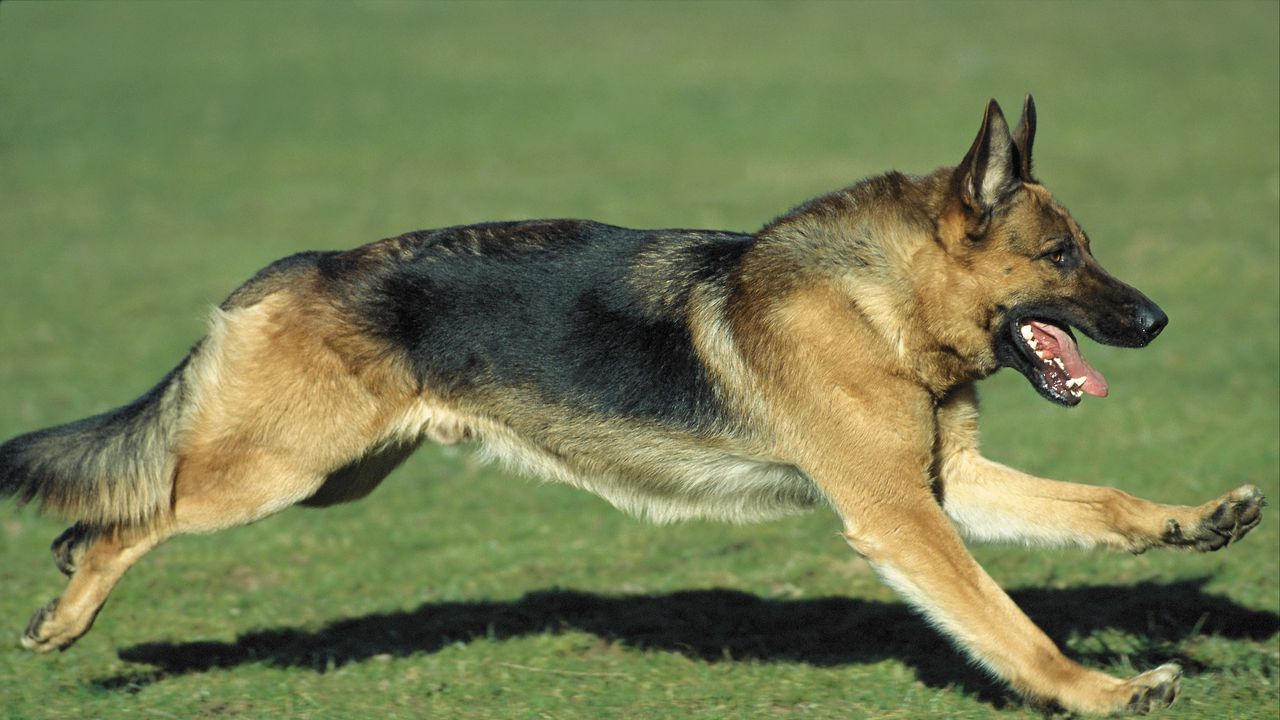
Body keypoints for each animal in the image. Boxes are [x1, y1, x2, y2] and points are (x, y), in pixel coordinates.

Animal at [0, 95, 1259, 712]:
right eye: (1062, 257)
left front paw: (1193, 523)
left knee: (119, 506)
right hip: (277, 474)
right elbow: (1008, 625)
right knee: (130, 512)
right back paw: (64, 616)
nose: (1156, 322)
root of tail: (291, 267)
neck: (878, 304)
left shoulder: (949, 486)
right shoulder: (901, 517)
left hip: (331, 478)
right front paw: (1098, 692)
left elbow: (1099, 501)